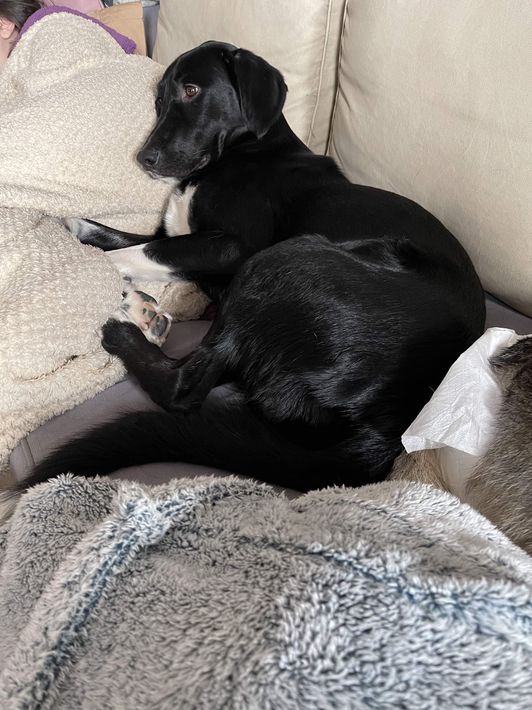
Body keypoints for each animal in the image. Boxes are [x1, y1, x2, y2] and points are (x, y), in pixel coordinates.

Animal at [15, 41, 485, 494]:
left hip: (279, 260)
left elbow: (126, 254)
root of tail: (396, 425)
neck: (242, 151)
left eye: (192, 90)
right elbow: (119, 238)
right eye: (158, 100)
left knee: (185, 389)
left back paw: (125, 327)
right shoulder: (175, 236)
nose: (145, 158)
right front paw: (69, 230)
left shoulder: (234, 248)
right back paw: (143, 314)